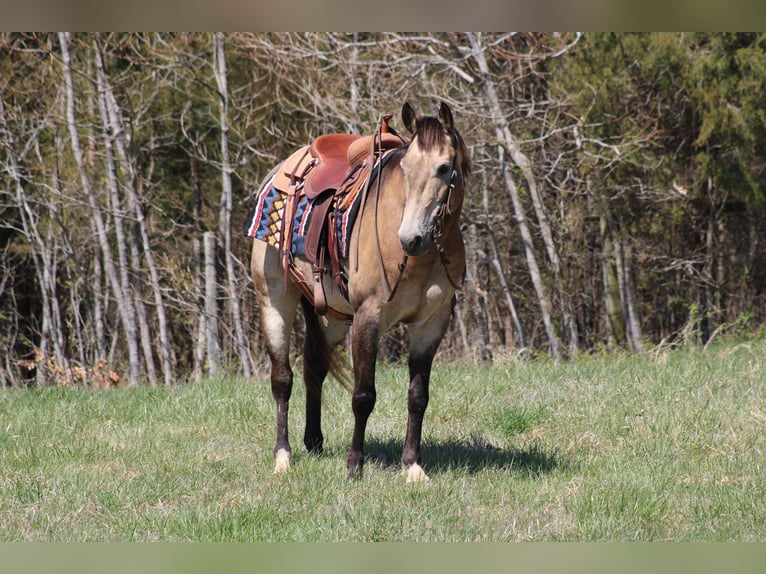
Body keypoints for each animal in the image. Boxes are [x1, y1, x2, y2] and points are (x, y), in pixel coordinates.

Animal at [249, 102, 472, 482]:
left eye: (444, 168)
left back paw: (314, 442)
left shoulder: (431, 324)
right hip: (275, 301)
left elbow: (418, 396)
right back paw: (283, 456)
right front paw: (354, 465)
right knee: (282, 379)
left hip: (334, 316)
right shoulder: (369, 317)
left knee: (314, 366)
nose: (410, 239)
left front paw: (412, 466)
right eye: (406, 167)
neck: (418, 257)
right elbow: (363, 395)